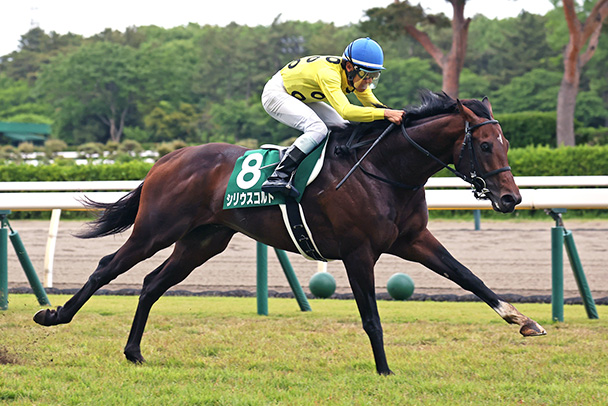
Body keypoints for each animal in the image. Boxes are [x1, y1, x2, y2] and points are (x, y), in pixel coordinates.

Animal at [33, 90, 546, 375]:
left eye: (506, 142)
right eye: (485, 144)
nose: (510, 199)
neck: (384, 170)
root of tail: (168, 157)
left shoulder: (413, 240)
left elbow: (469, 278)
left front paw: (525, 321)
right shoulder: (358, 252)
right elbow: (372, 316)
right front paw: (384, 370)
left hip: (202, 240)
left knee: (152, 283)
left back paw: (134, 352)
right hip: (156, 229)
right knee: (107, 267)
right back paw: (54, 315)